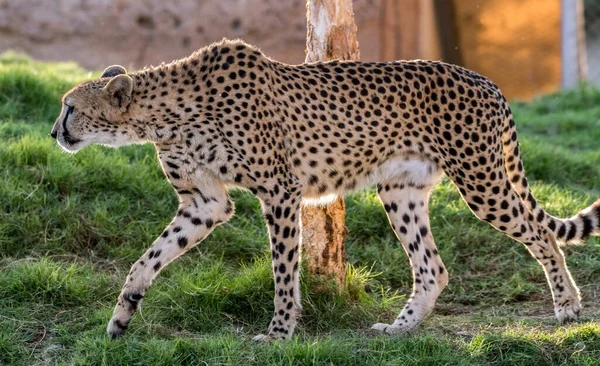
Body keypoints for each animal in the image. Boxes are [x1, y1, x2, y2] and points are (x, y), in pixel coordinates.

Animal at [51, 39, 600, 340]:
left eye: (70, 107)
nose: (55, 131)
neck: (165, 113)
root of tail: (487, 80)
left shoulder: (279, 190)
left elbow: (283, 272)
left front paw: (278, 333)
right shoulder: (205, 202)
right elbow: (148, 258)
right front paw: (121, 318)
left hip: (482, 181)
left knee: (540, 235)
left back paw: (568, 307)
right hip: (400, 189)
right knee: (432, 268)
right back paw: (400, 329)